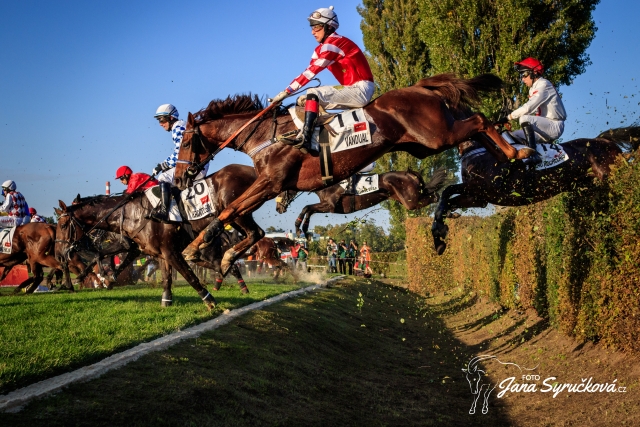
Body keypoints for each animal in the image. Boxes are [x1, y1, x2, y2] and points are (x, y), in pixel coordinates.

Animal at [278, 170, 448, 237]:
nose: (278, 208)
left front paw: (299, 228)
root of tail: (410, 174)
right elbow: (309, 210)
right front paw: (304, 230)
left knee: (435, 196)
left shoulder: (330, 206)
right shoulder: (327, 206)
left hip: (410, 202)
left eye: (280, 191)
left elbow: (306, 207)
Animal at [430, 126, 640, 254]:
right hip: (589, 183)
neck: (476, 150)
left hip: (611, 174)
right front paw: (440, 234)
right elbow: (448, 199)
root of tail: (604, 141)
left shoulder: (487, 187)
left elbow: (447, 191)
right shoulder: (478, 197)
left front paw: (440, 230)